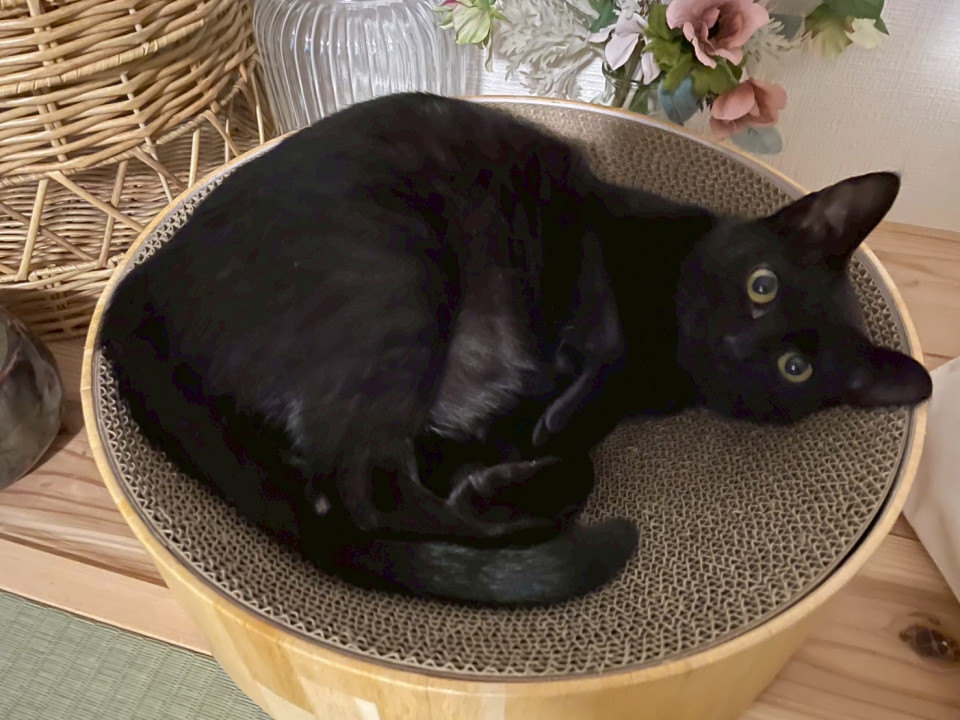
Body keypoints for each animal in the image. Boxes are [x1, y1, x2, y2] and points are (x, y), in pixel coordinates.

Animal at [99, 93, 932, 607]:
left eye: (796, 368)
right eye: (762, 285)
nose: (741, 341)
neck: (667, 367)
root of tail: (136, 290)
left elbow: (570, 449)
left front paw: (525, 451)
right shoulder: (590, 221)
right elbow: (603, 341)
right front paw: (557, 424)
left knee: (349, 490)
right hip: (396, 270)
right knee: (354, 492)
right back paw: (511, 526)